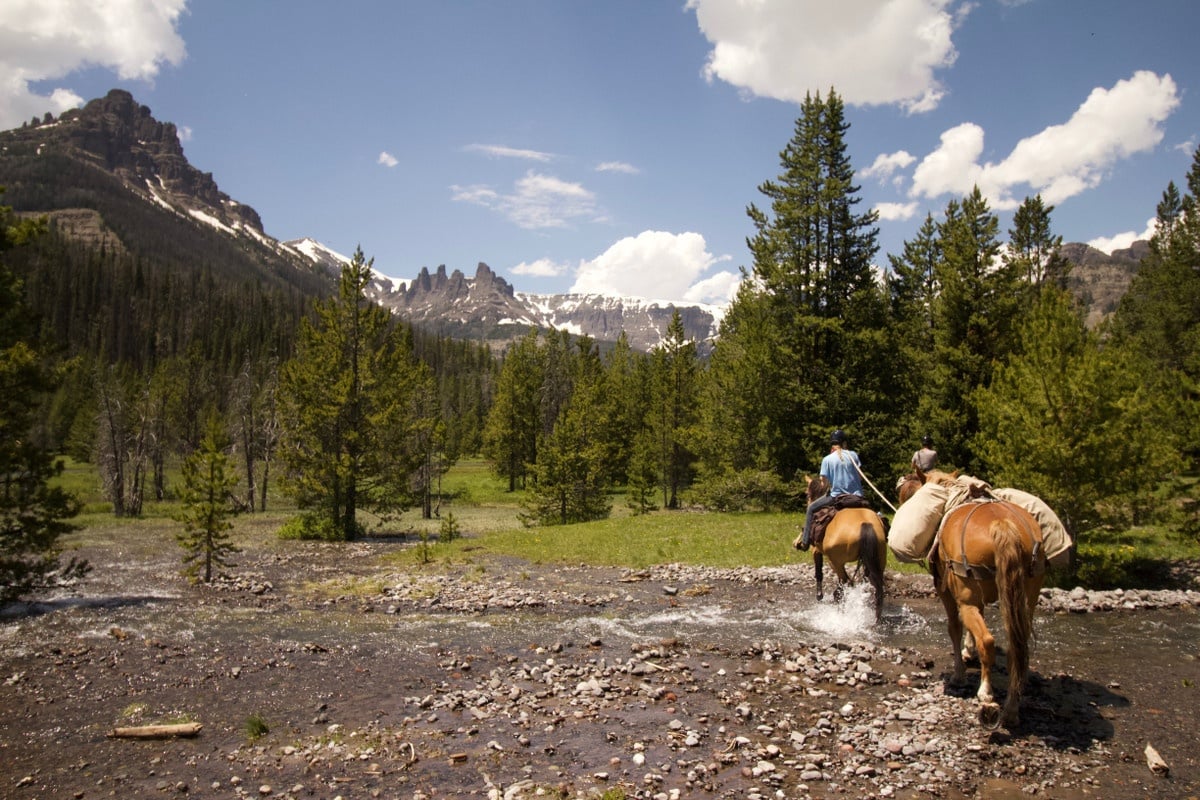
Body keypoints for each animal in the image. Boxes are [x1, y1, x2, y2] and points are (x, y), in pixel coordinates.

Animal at [792, 474, 888, 623]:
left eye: (807, 494)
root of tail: (865, 524)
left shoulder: (816, 551)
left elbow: (819, 572)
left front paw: (819, 595)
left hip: (835, 561)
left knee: (845, 582)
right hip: (879, 559)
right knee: (876, 588)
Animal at [916, 472, 1051, 729]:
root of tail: (1003, 525)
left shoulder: (948, 593)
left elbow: (955, 629)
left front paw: (959, 673)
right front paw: (969, 652)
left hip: (967, 599)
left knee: (987, 641)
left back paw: (986, 695)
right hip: (1026, 598)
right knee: (1016, 649)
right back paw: (1011, 710)